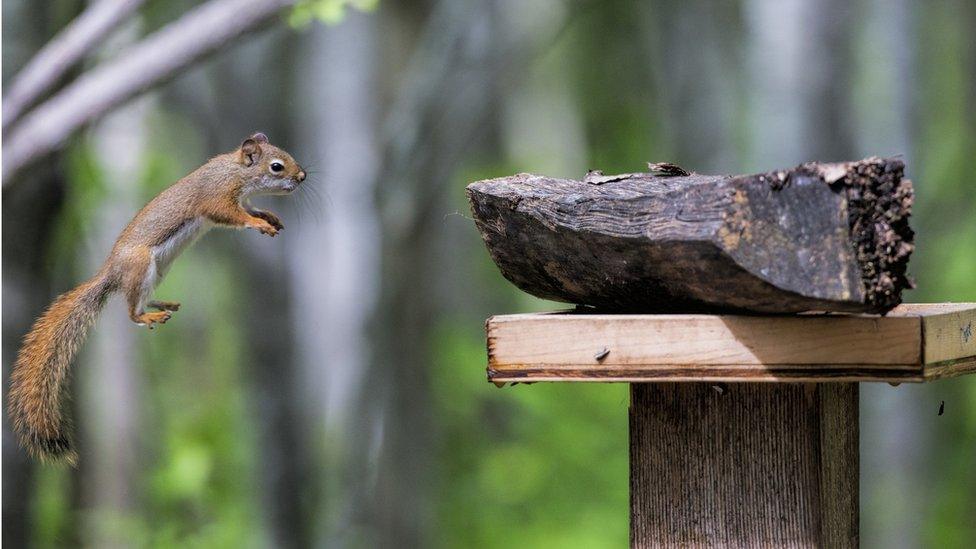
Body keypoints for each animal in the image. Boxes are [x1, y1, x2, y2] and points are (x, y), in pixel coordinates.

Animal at [6, 132, 304, 462]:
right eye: (276, 166)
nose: (302, 176)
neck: (235, 170)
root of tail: (112, 273)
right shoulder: (216, 196)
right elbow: (230, 215)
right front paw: (259, 223)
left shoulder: (241, 198)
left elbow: (249, 209)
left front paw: (268, 216)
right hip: (141, 266)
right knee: (131, 311)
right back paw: (149, 314)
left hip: (158, 271)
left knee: (140, 298)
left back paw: (163, 304)